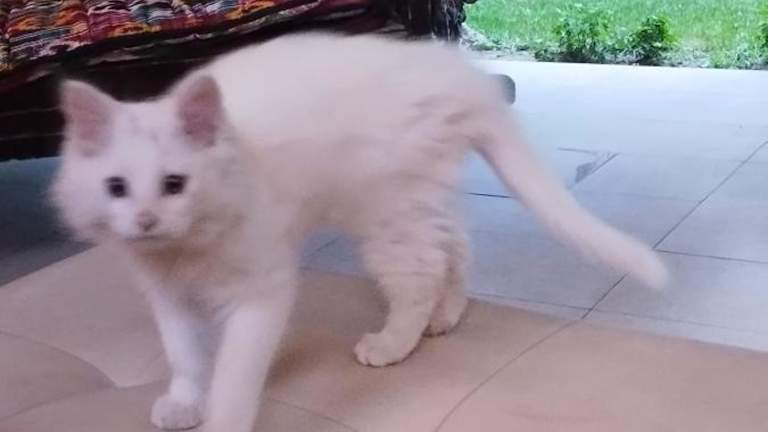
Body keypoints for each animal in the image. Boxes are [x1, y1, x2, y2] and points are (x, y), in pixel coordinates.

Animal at [52, 33, 667, 432]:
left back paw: (394, 342)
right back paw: (445, 318)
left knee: (422, 273)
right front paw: (183, 401)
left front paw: (221, 418)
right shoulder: (168, 296)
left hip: (385, 212)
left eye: (175, 183)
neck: (187, 251)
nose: (146, 221)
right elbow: (184, 355)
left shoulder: (263, 290)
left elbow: (233, 371)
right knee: (456, 248)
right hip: (416, 199)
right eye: (116, 188)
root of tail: (460, 76)